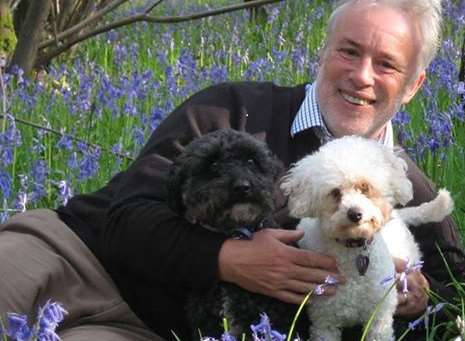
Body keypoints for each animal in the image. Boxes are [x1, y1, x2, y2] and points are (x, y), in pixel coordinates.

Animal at [280, 135, 454, 340]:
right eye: (335, 192)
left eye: (365, 187)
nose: (355, 214)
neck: (353, 250)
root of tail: (399, 215)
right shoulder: (324, 321)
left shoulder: (379, 319)